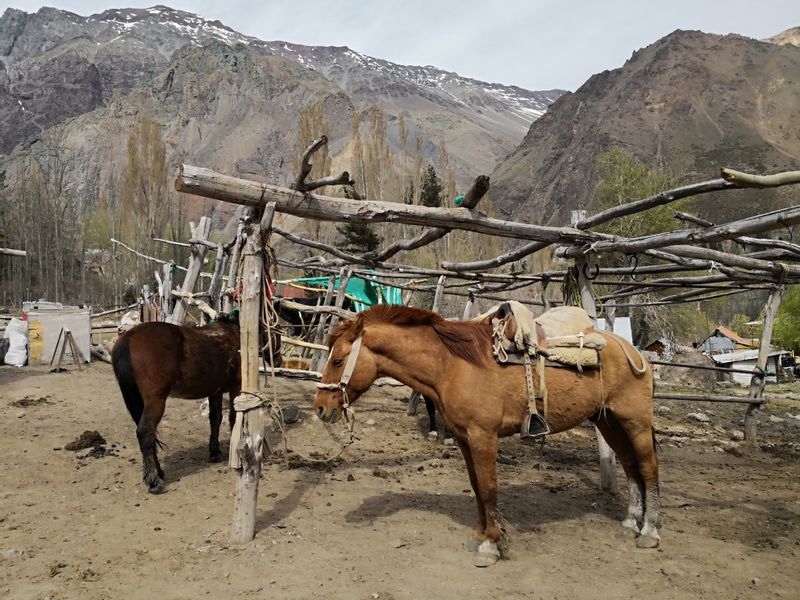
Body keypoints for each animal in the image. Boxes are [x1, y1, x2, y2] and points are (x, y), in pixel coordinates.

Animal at [111, 314, 241, 492]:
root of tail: (129, 338)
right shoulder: (236, 386)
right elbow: (234, 418)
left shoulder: (216, 391)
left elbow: (215, 418)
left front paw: (215, 452)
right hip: (155, 400)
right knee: (145, 431)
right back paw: (154, 481)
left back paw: (158, 472)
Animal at [312, 308, 656, 564]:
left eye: (338, 360)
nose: (320, 408)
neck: (452, 364)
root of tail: (633, 351)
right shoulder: (465, 438)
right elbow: (477, 487)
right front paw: (479, 536)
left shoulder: (483, 437)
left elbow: (489, 488)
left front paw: (491, 546)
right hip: (608, 421)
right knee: (630, 468)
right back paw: (630, 523)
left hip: (635, 422)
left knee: (648, 469)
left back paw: (650, 532)